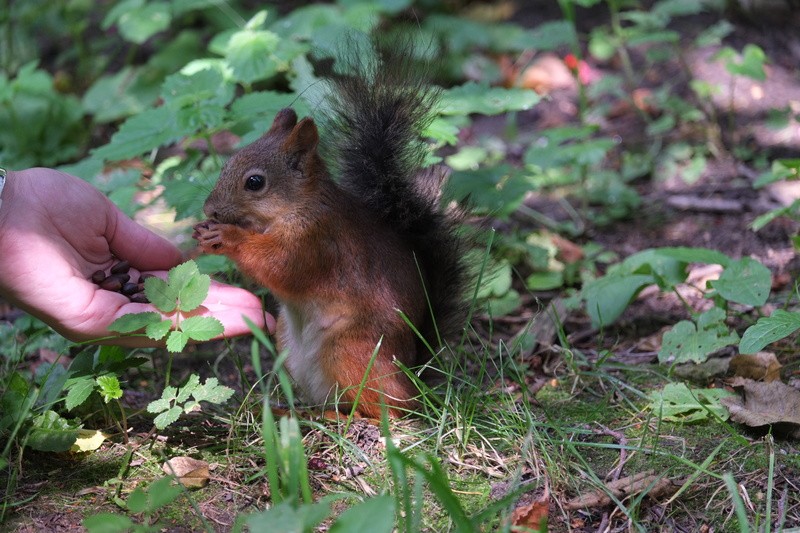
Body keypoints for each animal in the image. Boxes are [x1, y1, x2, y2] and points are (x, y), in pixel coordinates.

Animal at [193, 40, 468, 416]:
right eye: (228, 164)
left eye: (255, 182)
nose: (211, 209)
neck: (297, 206)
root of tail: (413, 373)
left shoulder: (315, 239)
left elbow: (278, 266)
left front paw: (226, 236)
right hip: (289, 343)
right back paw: (296, 411)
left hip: (350, 349)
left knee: (390, 408)